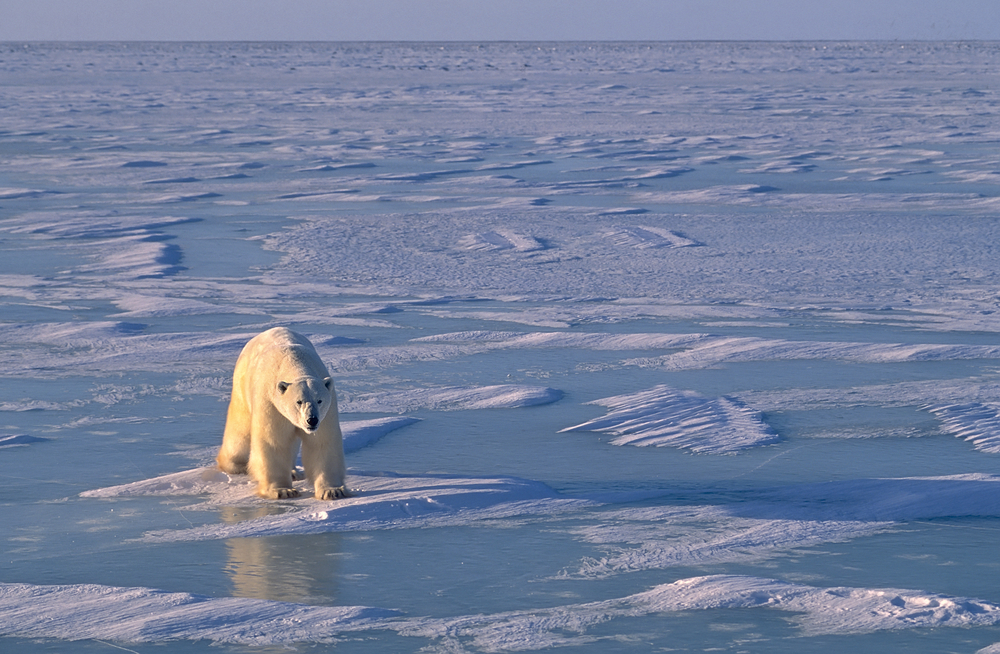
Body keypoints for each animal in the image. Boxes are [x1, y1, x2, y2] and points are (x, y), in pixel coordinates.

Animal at [216, 327, 348, 500]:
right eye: (299, 401)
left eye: (319, 400)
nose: (312, 420)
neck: (294, 361)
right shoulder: (270, 403)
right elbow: (274, 441)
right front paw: (283, 491)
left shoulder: (327, 410)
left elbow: (322, 442)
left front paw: (332, 490)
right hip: (241, 384)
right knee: (240, 430)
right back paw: (235, 465)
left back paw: (293, 472)